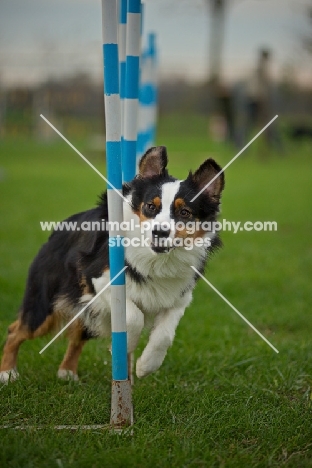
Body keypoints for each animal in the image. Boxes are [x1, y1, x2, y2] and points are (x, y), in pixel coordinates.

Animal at [0, 147, 224, 384]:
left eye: (185, 213)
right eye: (150, 206)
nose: (160, 232)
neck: (158, 258)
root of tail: (58, 230)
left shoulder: (179, 297)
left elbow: (164, 334)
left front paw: (145, 366)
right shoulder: (98, 279)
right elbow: (134, 316)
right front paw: (125, 348)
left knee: (77, 334)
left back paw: (67, 372)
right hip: (46, 303)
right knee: (16, 330)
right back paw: (8, 373)